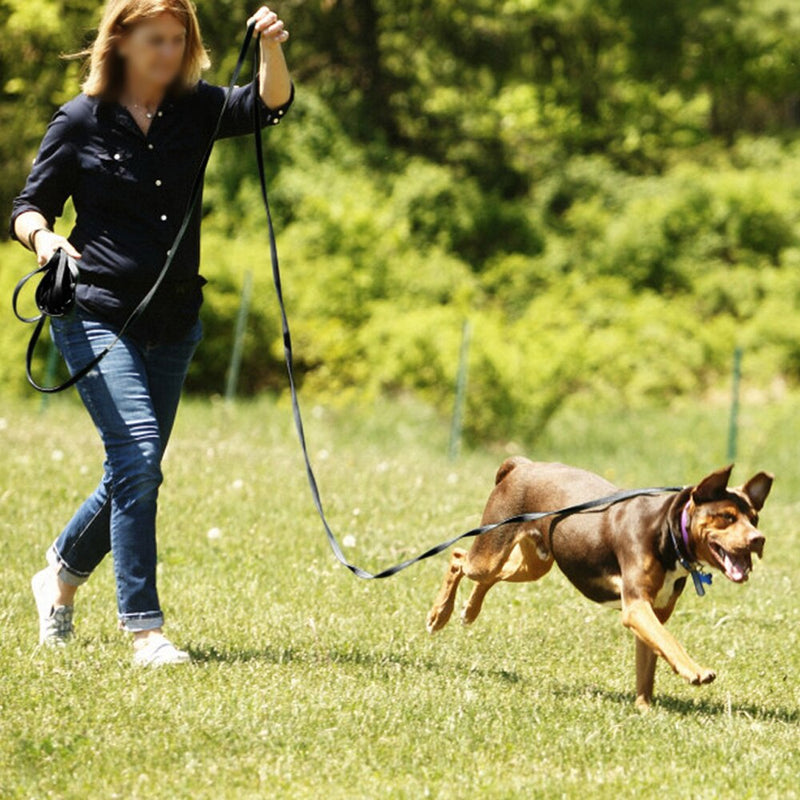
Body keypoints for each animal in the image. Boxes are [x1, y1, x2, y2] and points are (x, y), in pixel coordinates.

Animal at [428, 460, 772, 708]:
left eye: (754, 519)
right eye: (726, 517)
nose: (759, 539)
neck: (669, 531)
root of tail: (520, 464)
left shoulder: (653, 612)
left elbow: (648, 663)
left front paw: (644, 709)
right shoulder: (636, 607)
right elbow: (670, 643)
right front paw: (695, 671)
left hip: (533, 562)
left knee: (488, 576)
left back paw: (469, 611)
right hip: (492, 549)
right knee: (458, 557)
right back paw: (439, 615)